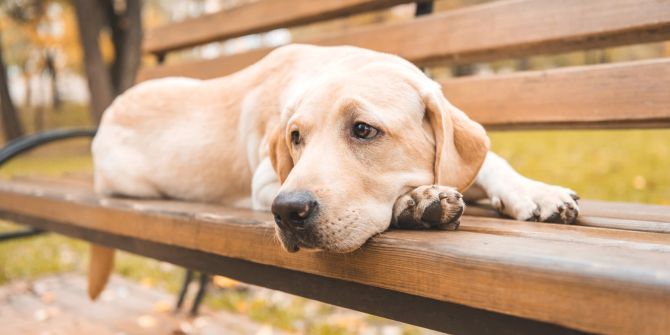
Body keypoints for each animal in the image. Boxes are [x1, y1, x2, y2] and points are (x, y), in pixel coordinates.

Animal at [89, 44, 580, 300]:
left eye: (363, 129)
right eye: (295, 137)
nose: (287, 212)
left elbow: (490, 161)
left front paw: (535, 191)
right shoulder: (266, 181)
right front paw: (416, 202)